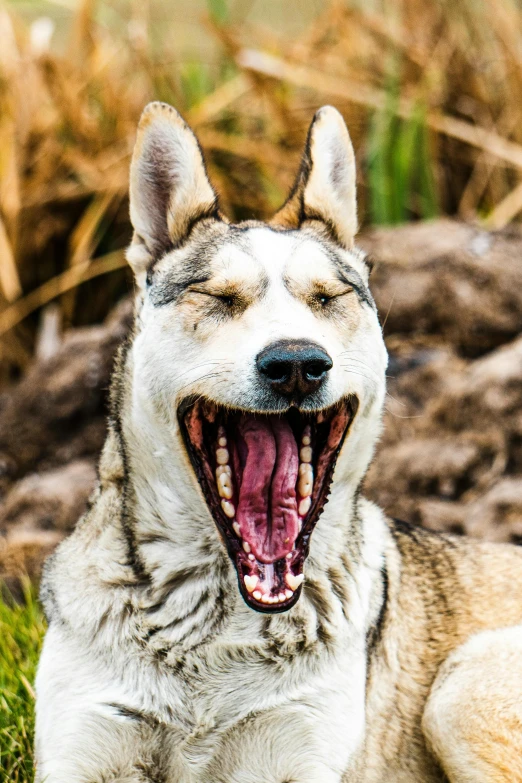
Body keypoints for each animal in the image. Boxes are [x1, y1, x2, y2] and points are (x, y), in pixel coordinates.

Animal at [34, 104, 520, 783]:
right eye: (217, 298)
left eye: (327, 298)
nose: (295, 364)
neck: (213, 618)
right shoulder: (81, 748)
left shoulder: (301, 754)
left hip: (461, 691)